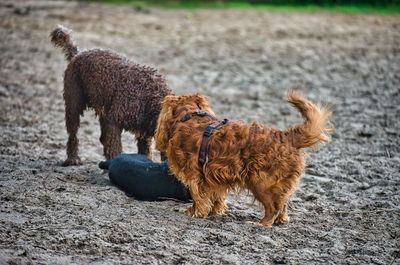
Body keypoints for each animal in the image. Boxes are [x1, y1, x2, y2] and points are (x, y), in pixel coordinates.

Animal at [50, 24, 170, 165]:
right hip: (73, 104)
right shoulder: (114, 120)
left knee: (102, 138)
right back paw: (72, 159)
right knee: (73, 134)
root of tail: (78, 54)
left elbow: (144, 150)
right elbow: (114, 146)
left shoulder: (142, 129)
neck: (149, 97)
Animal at [155, 91, 332, 227]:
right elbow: (216, 196)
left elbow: (198, 197)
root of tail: (287, 137)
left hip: (261, 183)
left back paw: (261, 224)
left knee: (273, 208)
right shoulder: (214, 177)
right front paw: (214, 212)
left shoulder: (195, 176)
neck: (190, 115)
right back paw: (281, 220)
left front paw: (195, 212)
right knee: (283, 204)